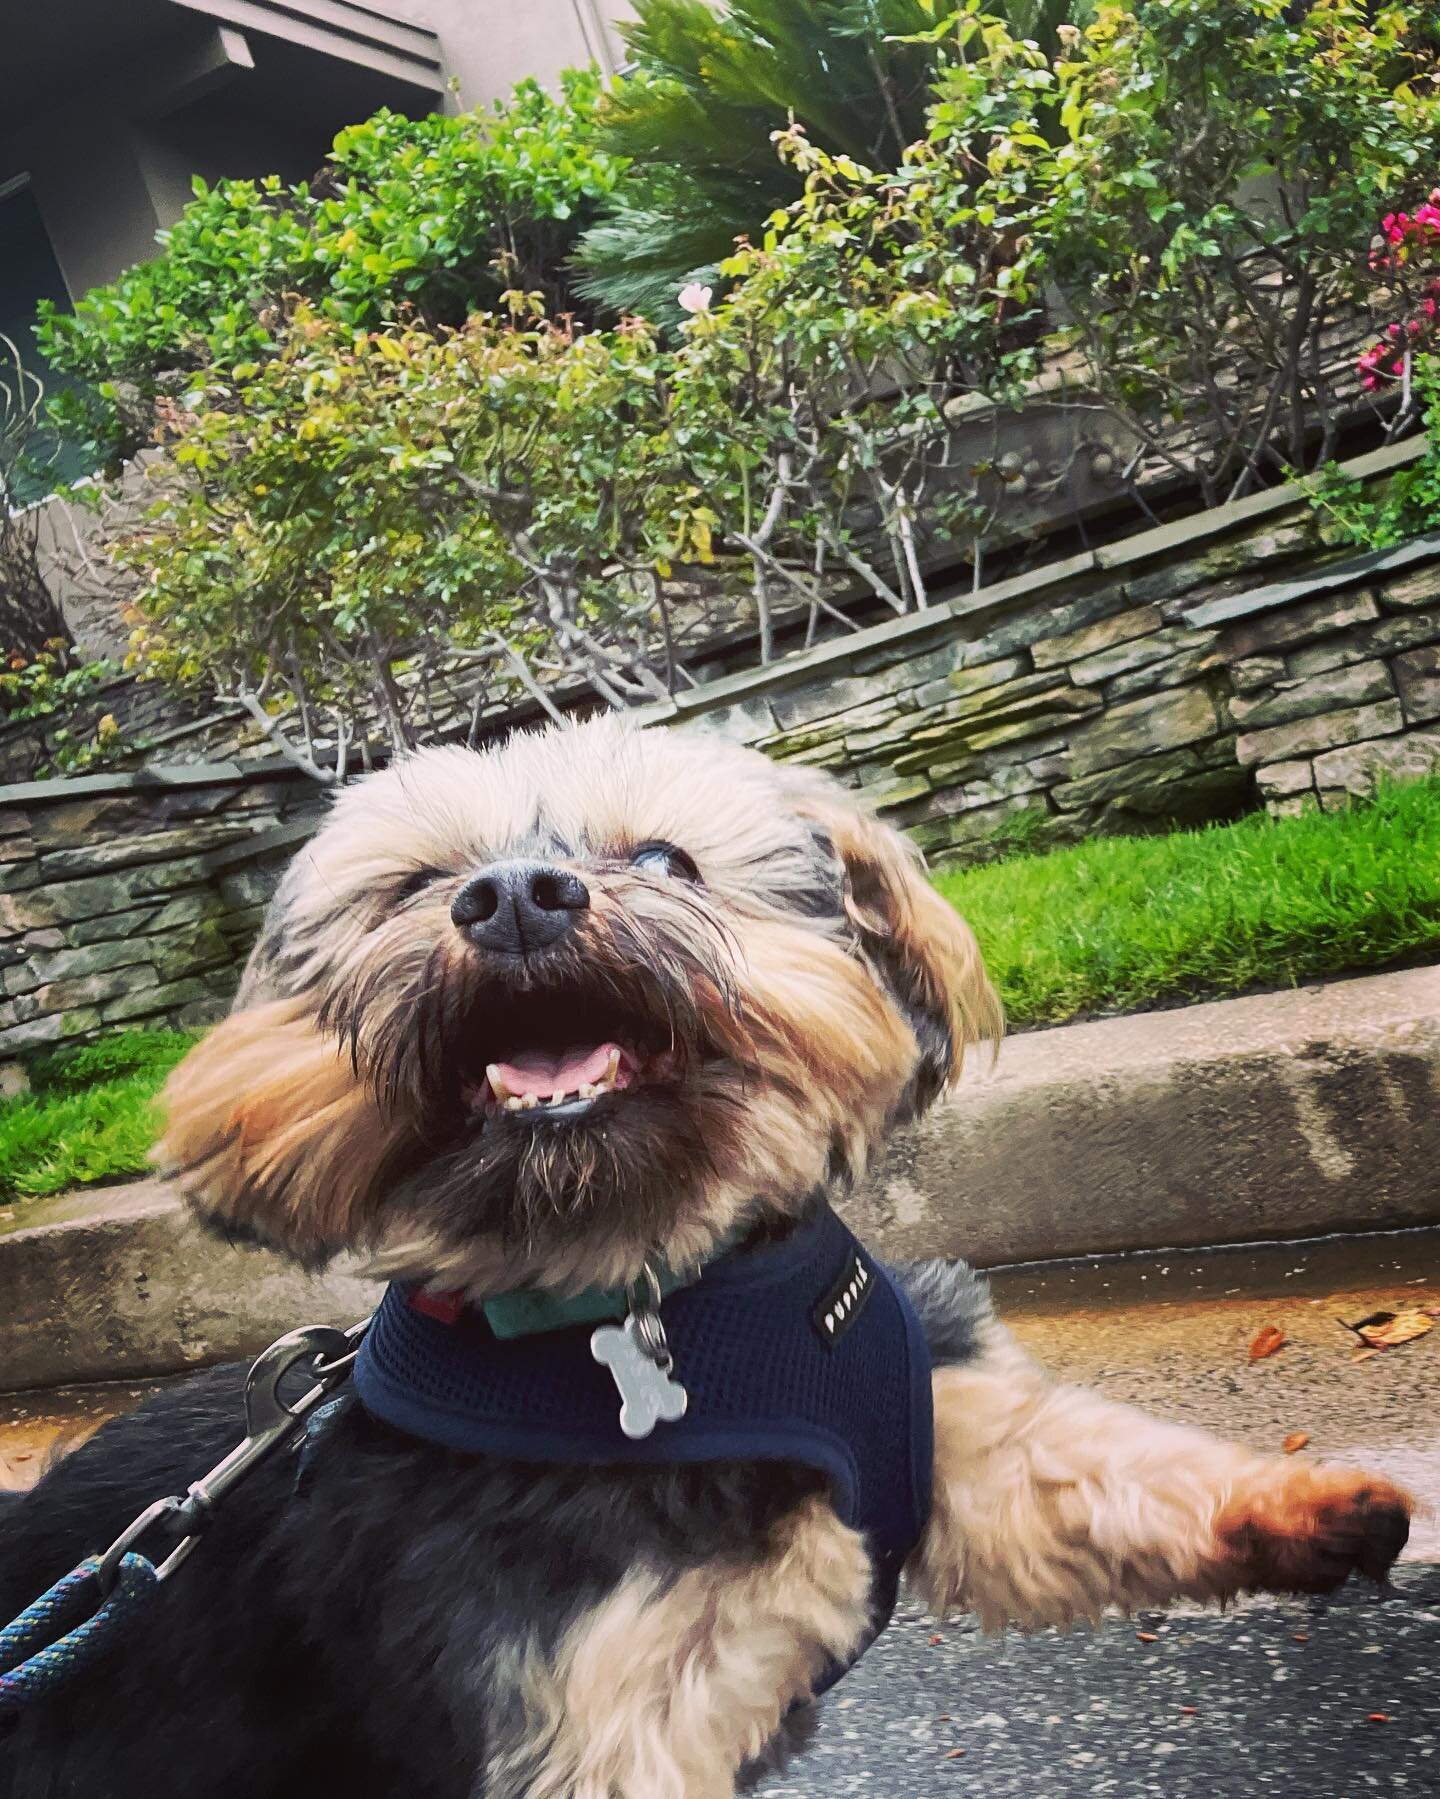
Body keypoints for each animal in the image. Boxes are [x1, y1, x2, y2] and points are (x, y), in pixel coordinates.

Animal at [0, 719, 1411, 1799]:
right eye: (411, 887)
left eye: (666, 857)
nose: (512, 896)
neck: (666, 1288)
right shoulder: (601, 1719)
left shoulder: (942, 1420)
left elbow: (1103, 1472)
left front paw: (1310, 1504)